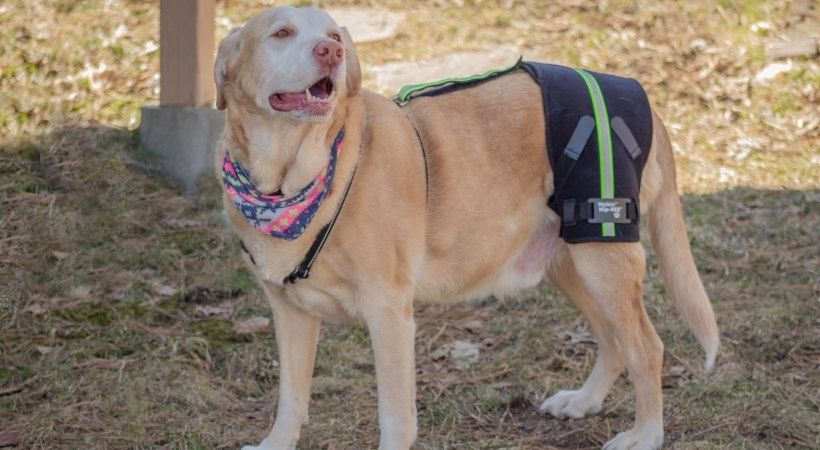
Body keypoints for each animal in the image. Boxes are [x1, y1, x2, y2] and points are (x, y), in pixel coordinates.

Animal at [215, 7, 720, 450]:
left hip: (603, 260)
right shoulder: (290, 312)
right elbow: (291, 401)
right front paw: (276, 444)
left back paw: (646, 435)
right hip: (572, 262)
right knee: (614, 340)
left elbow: (394, 416)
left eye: (335, 35)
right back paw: (585, 401)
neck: (292, 179)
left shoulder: (388, 313)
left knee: (647, 348)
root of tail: (641, 96)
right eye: (281, 33)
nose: (331, 52)